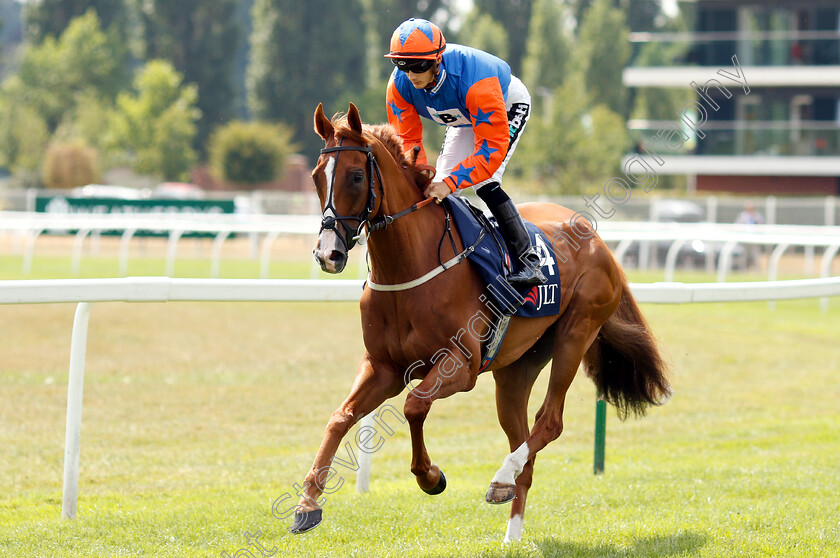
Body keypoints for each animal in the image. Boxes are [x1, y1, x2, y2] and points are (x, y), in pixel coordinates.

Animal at [296, 103, 668, 544]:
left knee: (550, 421)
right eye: (316, 176)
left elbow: (414, 404)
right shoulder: (382, 366)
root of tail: (597, 241)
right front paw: (307, 504)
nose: (328, 254)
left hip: (576, 334)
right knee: (524, 446)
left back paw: (501, 477)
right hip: (516, 368)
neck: (410, 269)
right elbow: (340, 417)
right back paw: (511, 528)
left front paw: (430, 477)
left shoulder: (461, 365)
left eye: (355, 176)